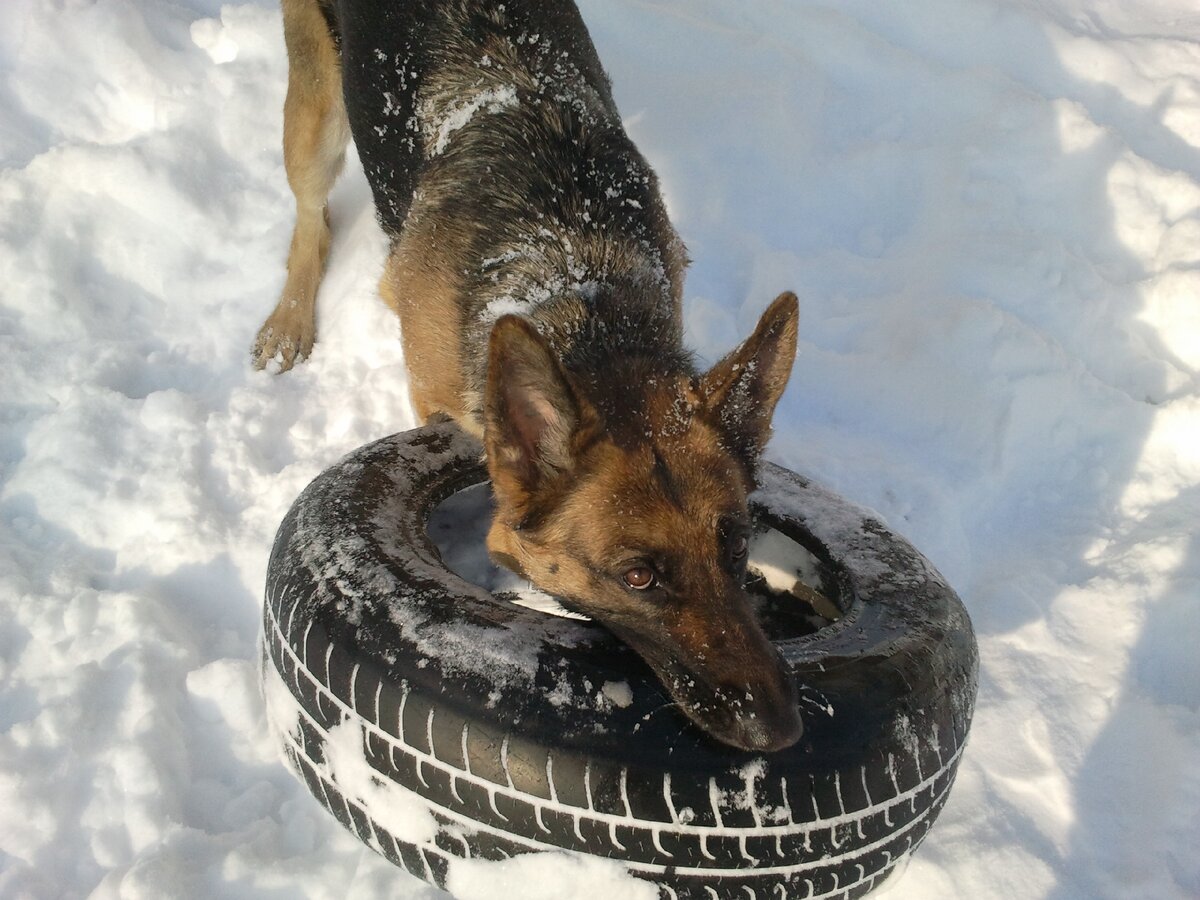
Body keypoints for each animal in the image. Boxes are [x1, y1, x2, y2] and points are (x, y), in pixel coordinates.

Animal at [254, 0, 801, 753]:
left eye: (737, 545)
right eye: (638, 577)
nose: (781, 730)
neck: (579, 293)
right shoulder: (433, 401)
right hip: (316, 112)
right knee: (312, 218)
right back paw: (288, 322)